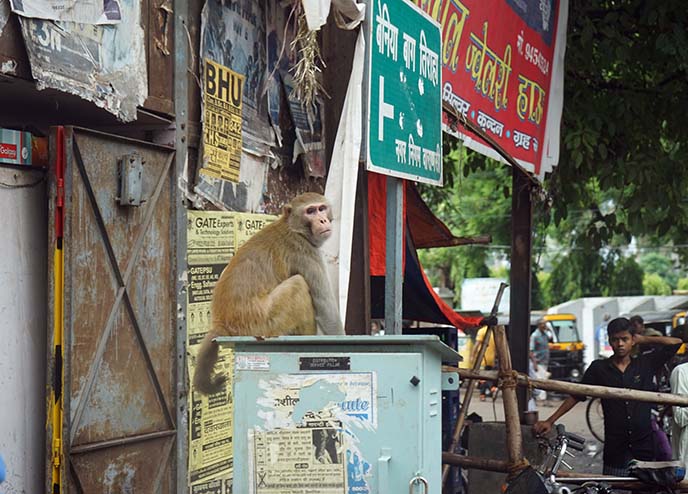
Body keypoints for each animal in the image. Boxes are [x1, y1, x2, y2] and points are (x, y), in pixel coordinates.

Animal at [192, 191, 344, 396]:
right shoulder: (306, 253)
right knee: (298, 285)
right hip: (262, 323)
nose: (322, 220)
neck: (293, 227)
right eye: (310, 211)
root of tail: (222, 323)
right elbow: (327, 311)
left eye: (321, 208)